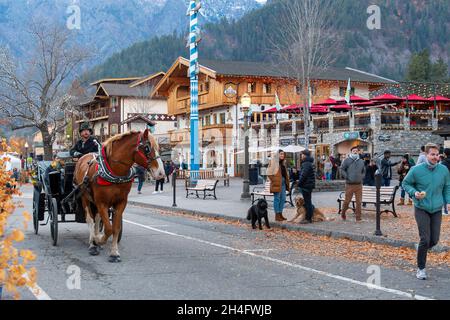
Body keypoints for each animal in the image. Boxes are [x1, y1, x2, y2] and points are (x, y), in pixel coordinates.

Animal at [74, 129, 165, 262]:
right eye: (147, 148)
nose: (161, 173)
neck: (116, 173)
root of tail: (83, 157)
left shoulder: (121, 202)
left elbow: (115, 228)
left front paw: (114, 252)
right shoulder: (102, 203)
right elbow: (108, 228)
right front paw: (98, 240)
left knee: (97, 219)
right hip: (85, 198)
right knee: (90, 219)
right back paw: (92, 243)